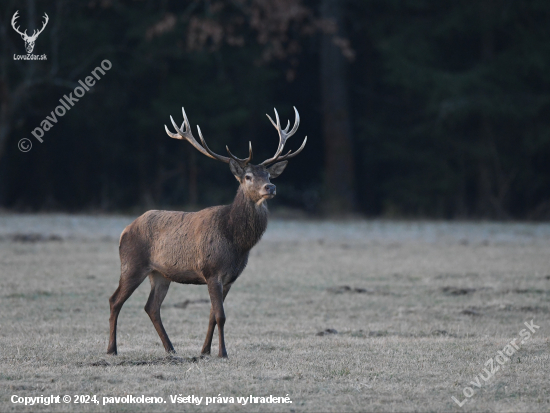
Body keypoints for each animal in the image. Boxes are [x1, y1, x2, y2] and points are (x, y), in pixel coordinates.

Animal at [108, 106, 306, 358]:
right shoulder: (212, 271)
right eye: (248, 177)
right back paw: (112, 349)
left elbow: (212, 315)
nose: (270, 187)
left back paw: (171, 349)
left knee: (151, 306)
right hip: (132, 264)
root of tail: (125, 229)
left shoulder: (230, 277)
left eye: (269, 175)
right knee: (115, 300)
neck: (236, 242)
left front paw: (204, 351)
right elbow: (221, 315)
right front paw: (222, 352)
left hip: (160, 274)